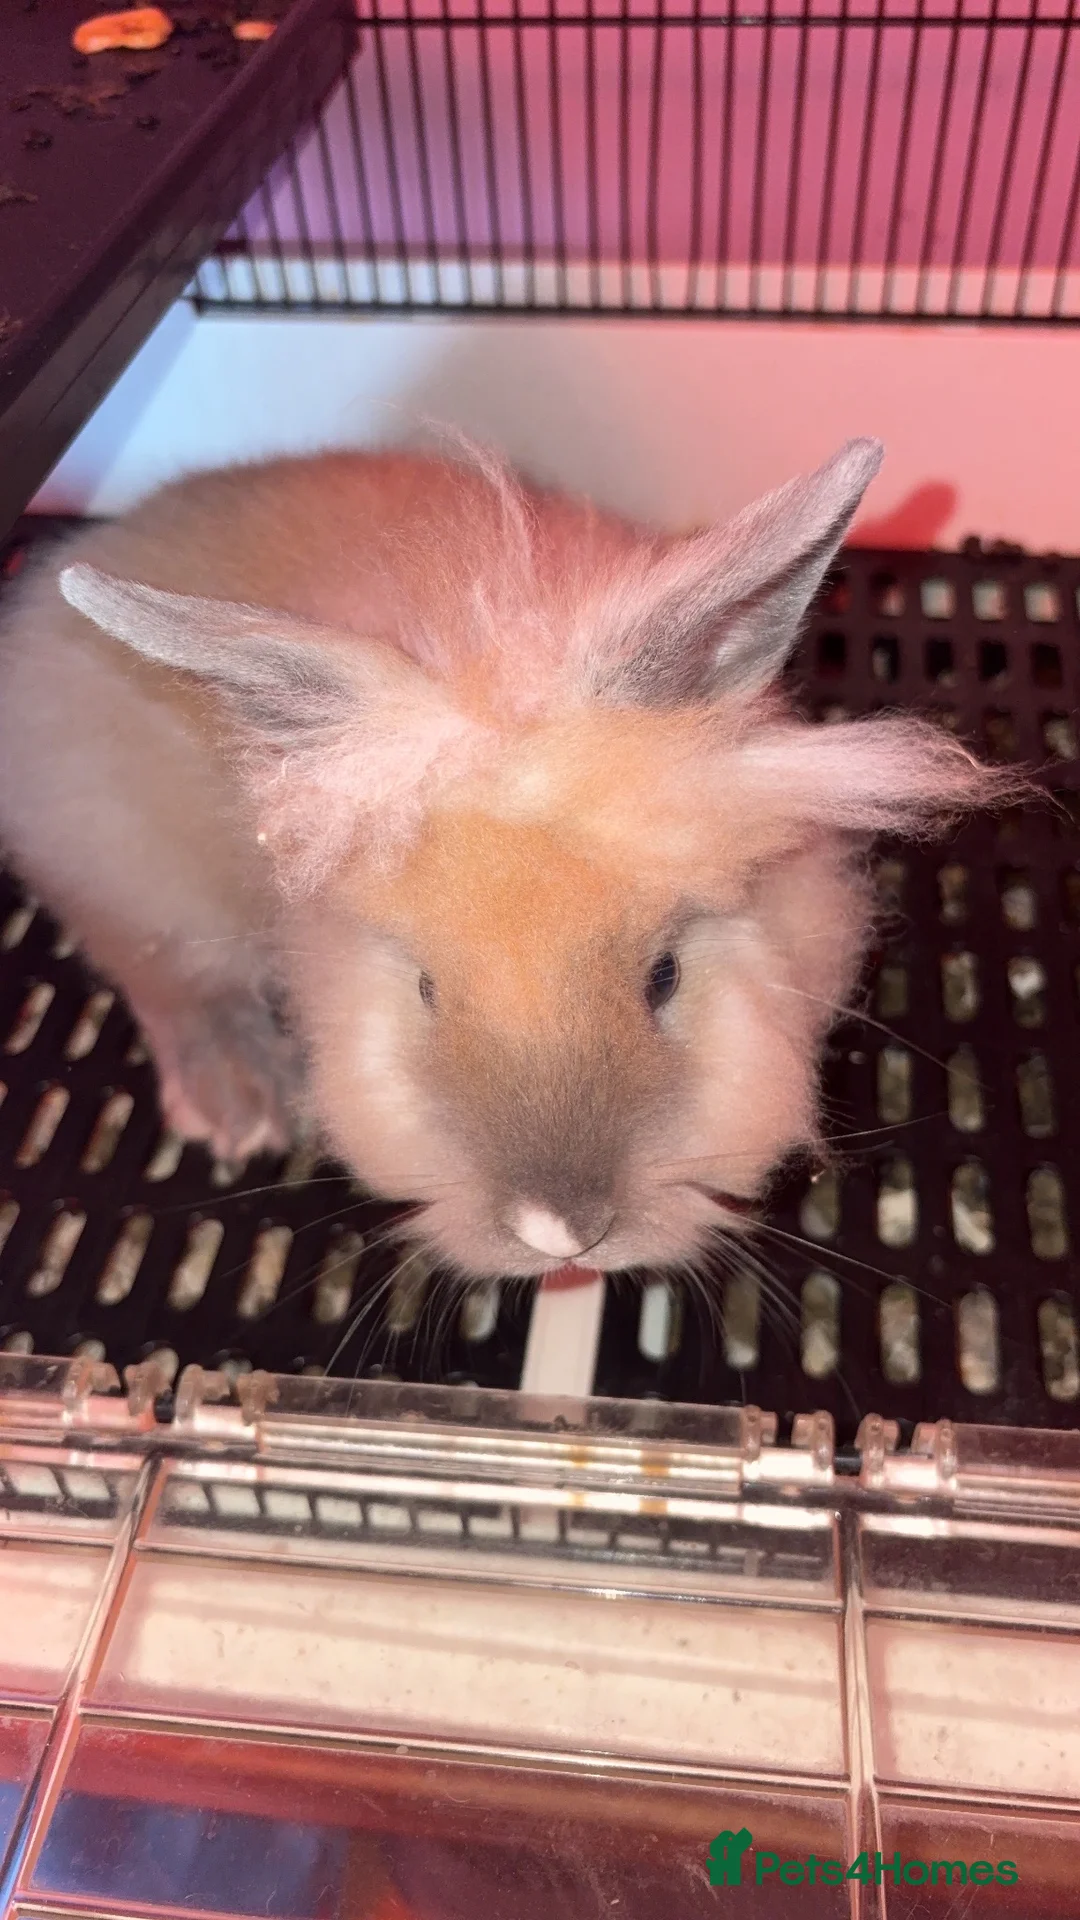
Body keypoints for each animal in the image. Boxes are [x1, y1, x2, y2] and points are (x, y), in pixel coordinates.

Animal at [0, 440, 1011, 1279]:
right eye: (424, 989)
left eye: (665, 976)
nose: (561, 1232)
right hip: (130, 881)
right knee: (162, 976)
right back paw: (240, 1102)